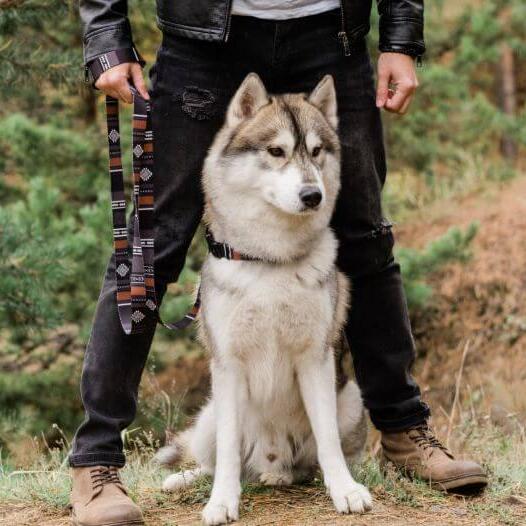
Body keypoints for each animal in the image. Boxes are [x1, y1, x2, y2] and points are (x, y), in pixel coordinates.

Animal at [159, 72, 374, 524]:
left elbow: (328, 442)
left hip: (350, 398)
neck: (270, 261)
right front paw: (221, 503)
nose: (313, 196)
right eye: (277, 151)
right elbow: (226, 455)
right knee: (216, 461)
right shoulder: (228, 367)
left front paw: (345, 491)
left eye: (316, 151)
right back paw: (185, 480)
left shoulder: (315, 359)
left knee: (310, 461)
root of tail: (270, 464)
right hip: (209, 415)